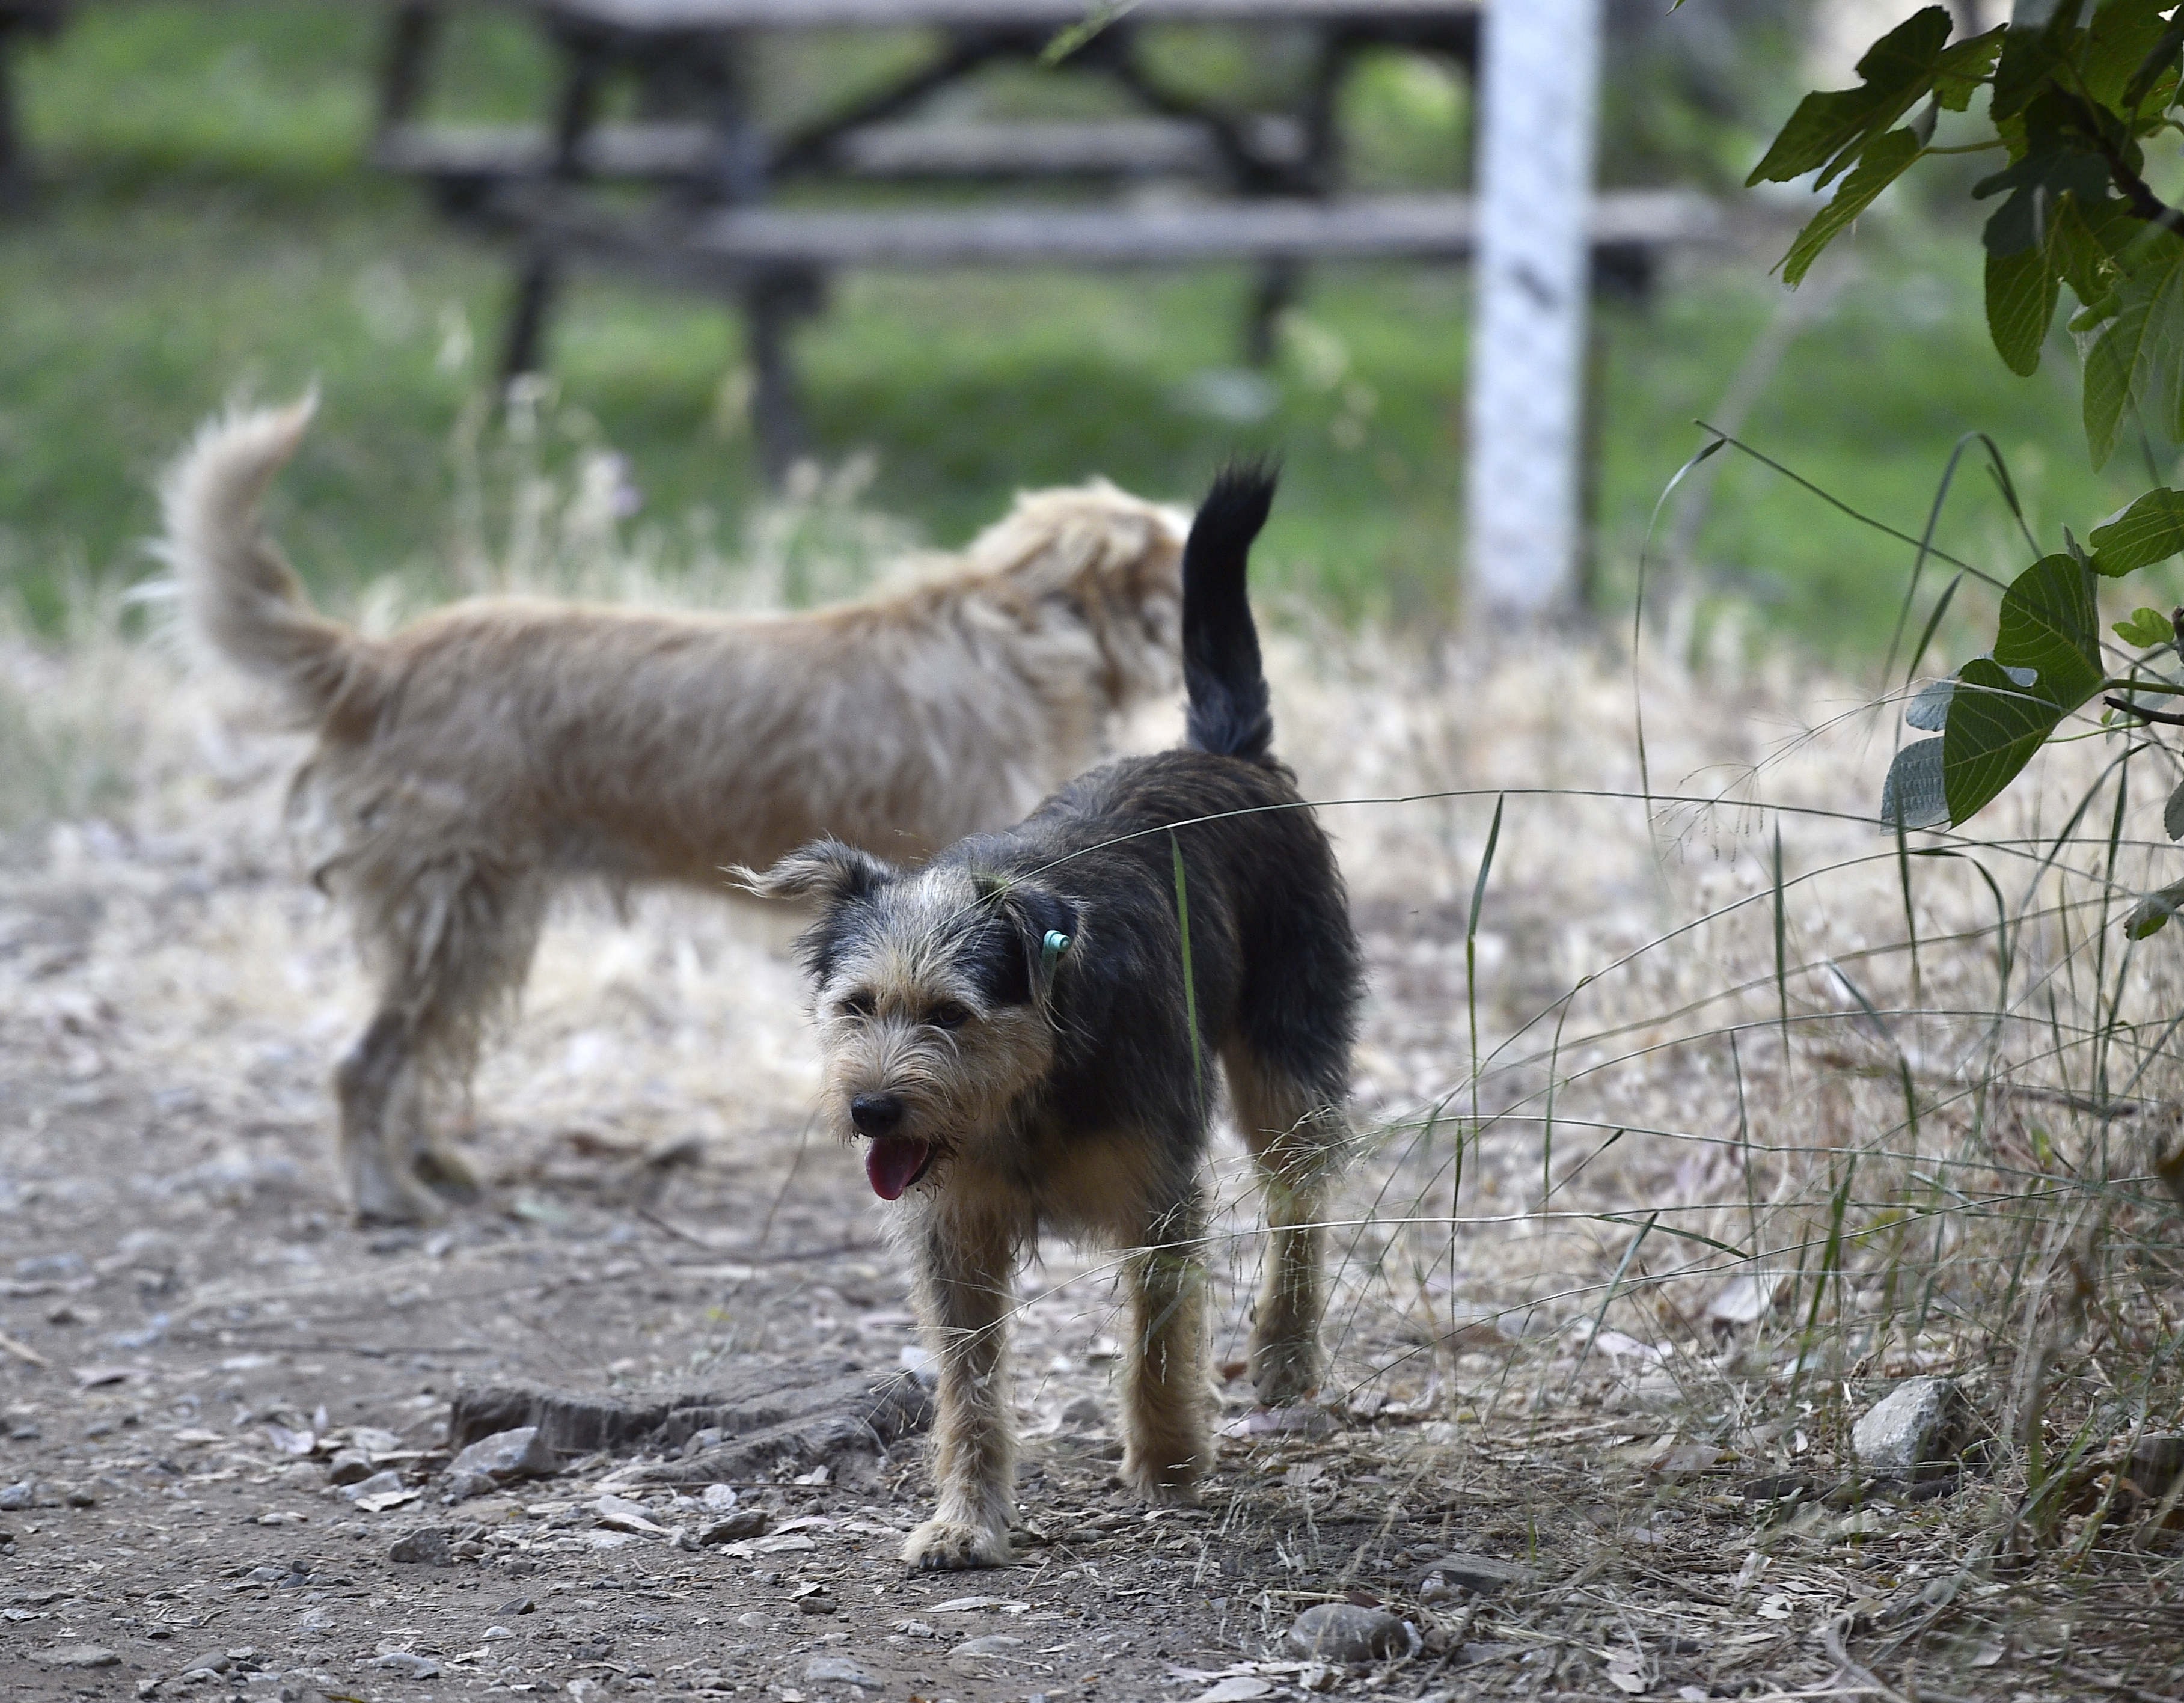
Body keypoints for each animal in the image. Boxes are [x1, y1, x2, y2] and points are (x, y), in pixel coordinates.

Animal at [161, 399, 1188, 1222]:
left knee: (418, 1056)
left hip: (475, 928)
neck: (1026, 621)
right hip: (456, 919)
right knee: (364, 1062)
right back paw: (384, 1193)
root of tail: (378, 663)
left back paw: (431, 1162)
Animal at [751, 469, 1362, 1572]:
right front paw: (967, 1516)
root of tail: (1226, 756)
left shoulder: (1159, 1197)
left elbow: (1158, 1338)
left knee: (1300, 1196)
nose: (868, 1110)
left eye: (951, 1014)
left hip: (1286, 1052)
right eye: (856, 1006)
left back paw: (1286, 1352)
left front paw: (1166, 1460)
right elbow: (969, 1386)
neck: (1025, 1089)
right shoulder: (951, 1234)